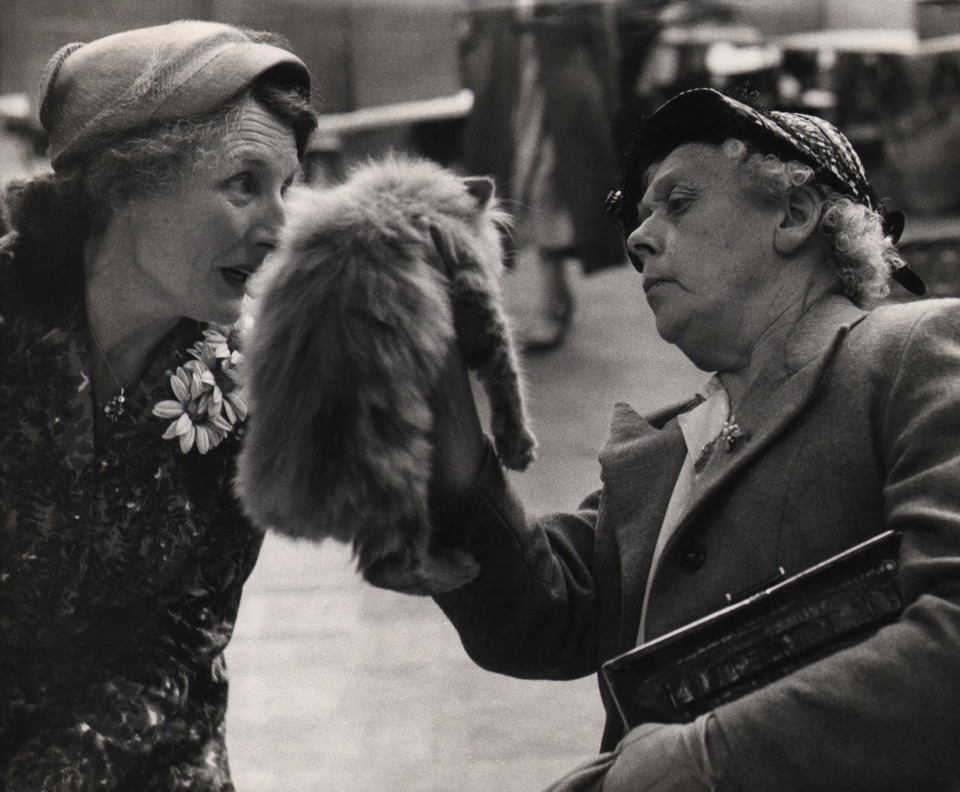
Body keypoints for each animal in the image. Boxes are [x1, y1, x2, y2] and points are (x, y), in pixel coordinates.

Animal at [235, 155, 536, 592]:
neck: (390, 198)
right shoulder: (473, 290)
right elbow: (506, 374)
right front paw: (518, 446)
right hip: (402, 476)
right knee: (389, 569)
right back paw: (456, 569)